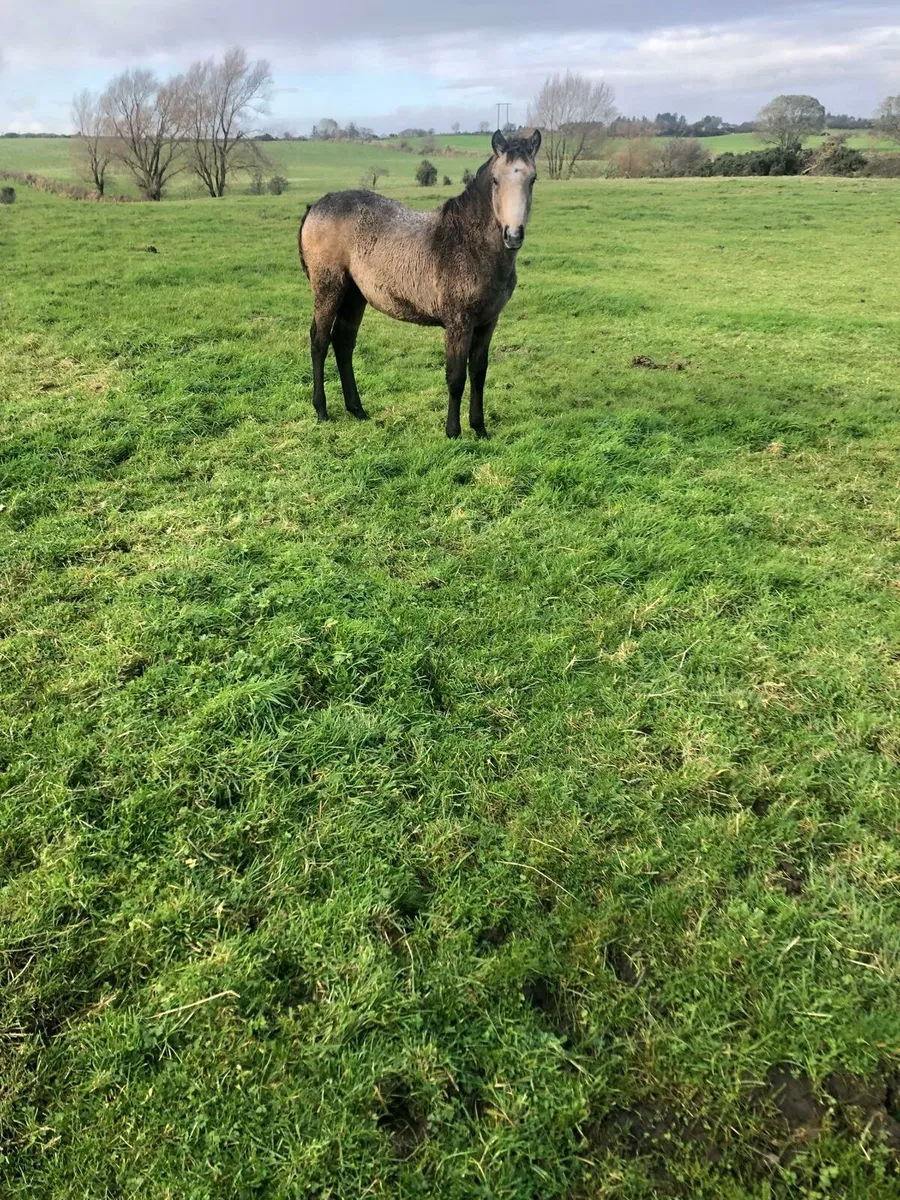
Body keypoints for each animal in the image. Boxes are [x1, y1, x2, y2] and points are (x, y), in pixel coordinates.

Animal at [298, 128, 541, 438]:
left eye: (532, 179)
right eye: (496, 180)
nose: (513, 235)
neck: (467, 242)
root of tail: (316, 205)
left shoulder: (488, 322)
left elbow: (478, 373)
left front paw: (480, 428)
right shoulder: (458, 322)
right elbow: (456, 376)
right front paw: (453, 432)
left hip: (354, 295)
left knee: (343, 342)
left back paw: (357, 410)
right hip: (329, 287)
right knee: (319, 340)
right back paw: (322, 410)